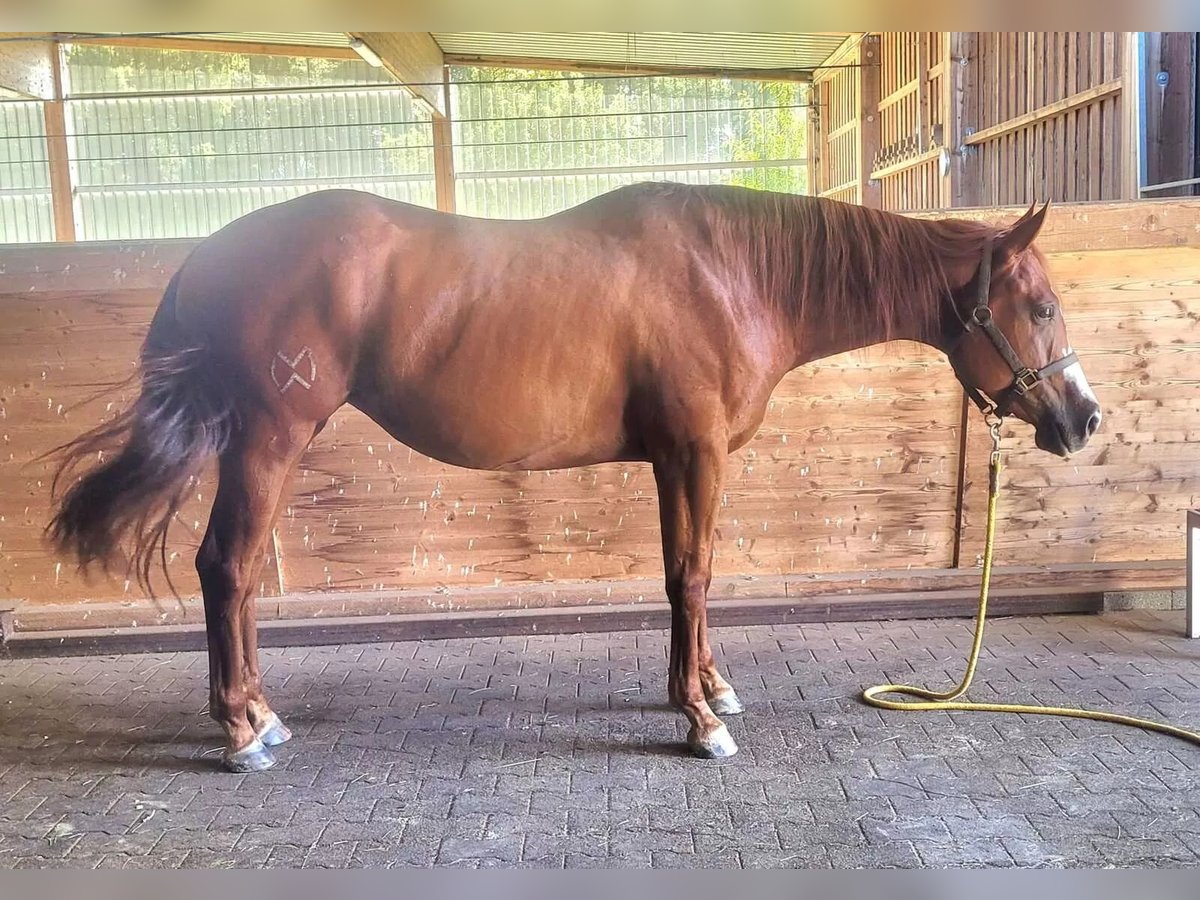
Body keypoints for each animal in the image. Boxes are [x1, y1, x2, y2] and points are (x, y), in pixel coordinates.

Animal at [46, 184, 1099, 777]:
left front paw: (702, 689)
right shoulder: (695, 453)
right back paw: (238, 733)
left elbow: (687, 577)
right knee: (226, 568)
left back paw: (262, 715)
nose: (1083, 419)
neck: (732, 274)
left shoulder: (680, 460)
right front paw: (699, 721)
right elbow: (693, 576)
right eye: (1041, 305)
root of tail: (214, 253)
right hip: (267, 440)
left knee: (238, 577)